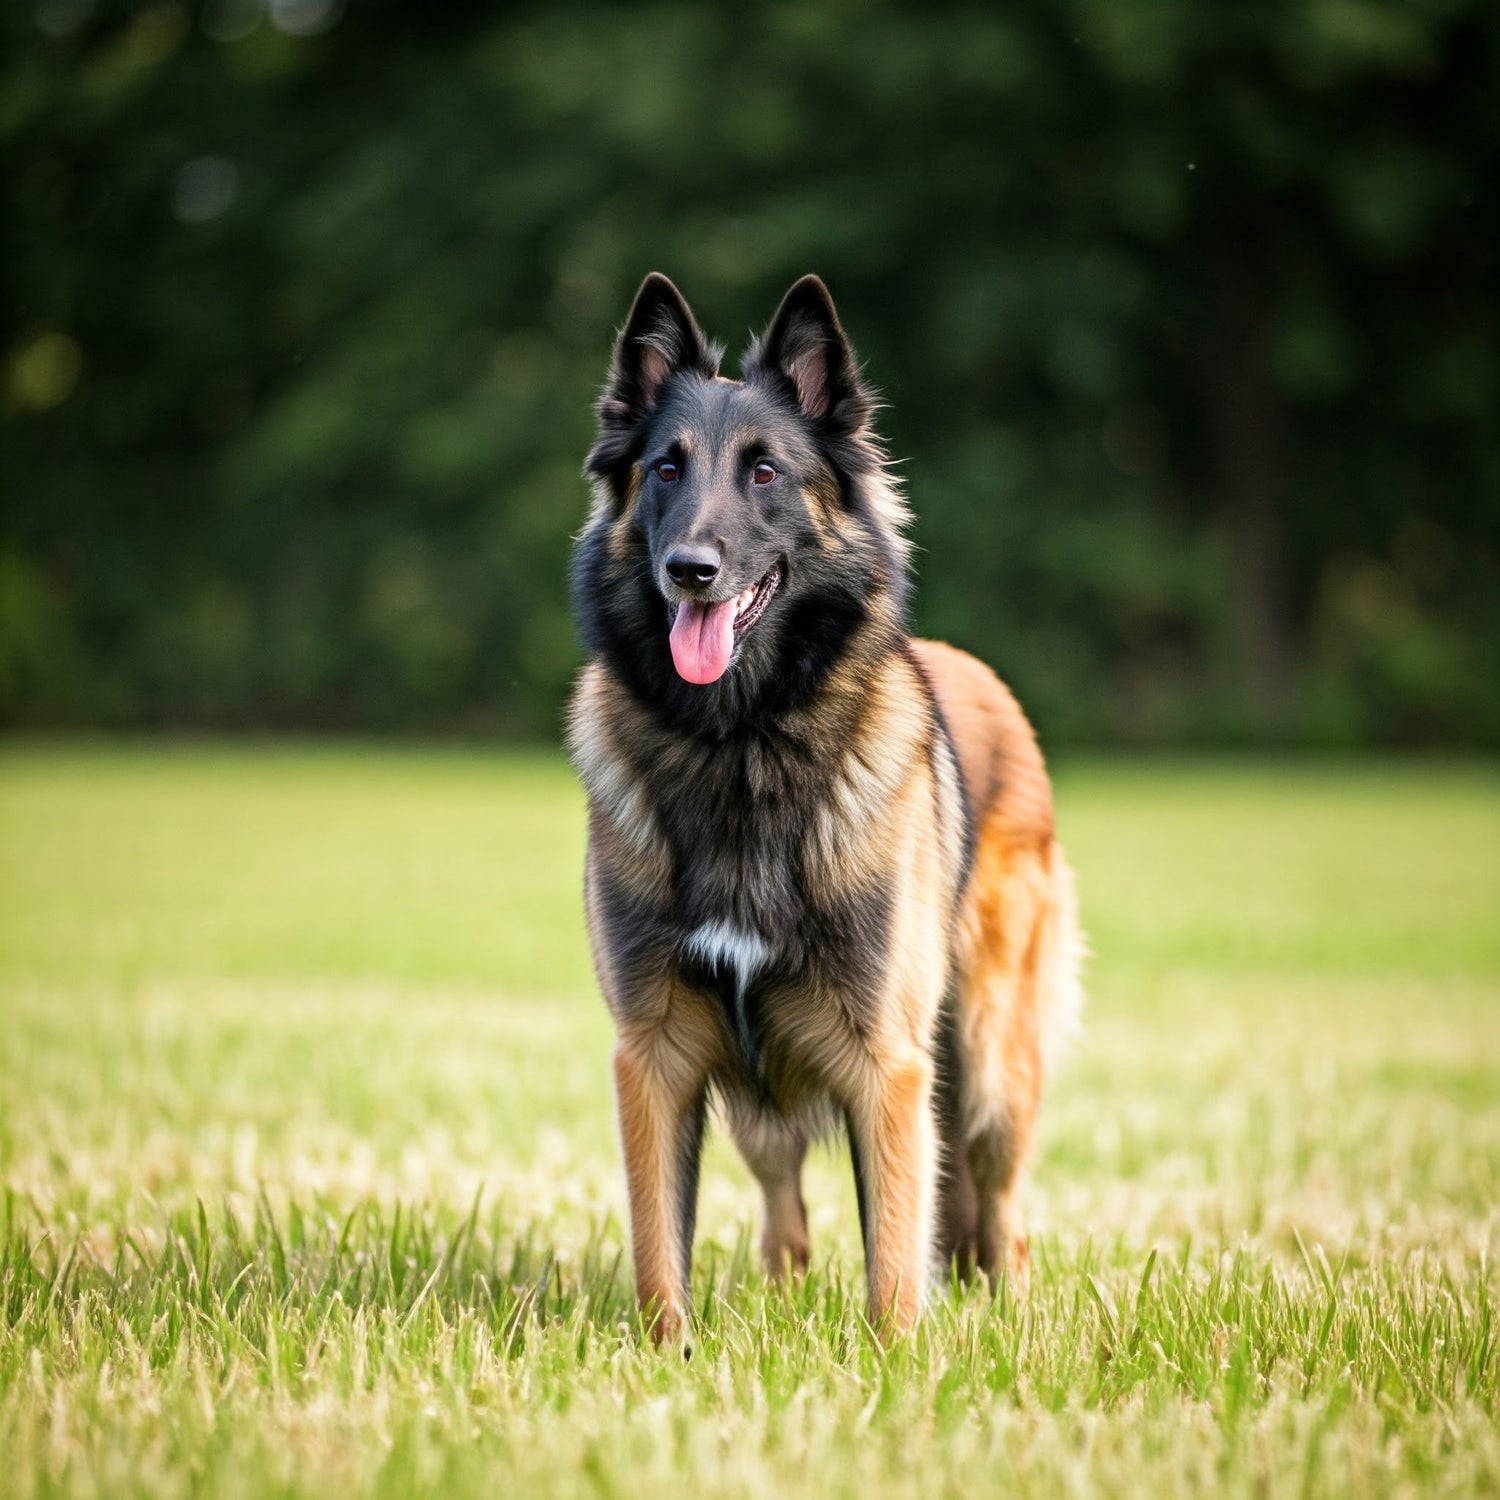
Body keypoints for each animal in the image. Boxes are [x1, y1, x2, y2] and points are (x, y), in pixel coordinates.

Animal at [570, 276, 1080, 1344]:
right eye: (666, 468)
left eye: (766, 471)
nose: (689, 569)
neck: (739, 744)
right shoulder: (656, 1055)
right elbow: (659, 1245)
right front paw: (668, 1357)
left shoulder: (884, 1062)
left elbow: (893, 1250)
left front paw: (894, 1358)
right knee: (787, 1213)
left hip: (990, 1059)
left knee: (1000, 1206)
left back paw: (1009, 1310)